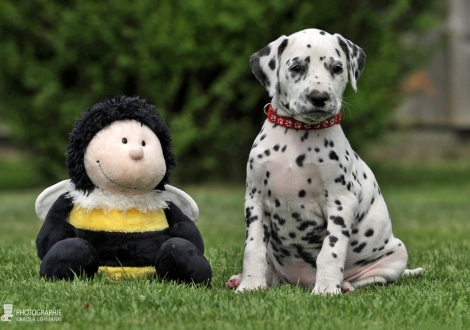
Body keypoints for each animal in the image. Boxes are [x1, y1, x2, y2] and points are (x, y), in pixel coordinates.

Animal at [227, 28, 422, 296]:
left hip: (396, 255)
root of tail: (299, 281)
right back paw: (245, 279)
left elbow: (331, 251)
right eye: (296, 67)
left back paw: (345, 285)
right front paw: (250, 285)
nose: (319, 97)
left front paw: (327, 289)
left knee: (370, 278)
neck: (298, 134)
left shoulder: (341, 203)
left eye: (337, 68)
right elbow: (253, 248)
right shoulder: (255, 201)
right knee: (273, 272)